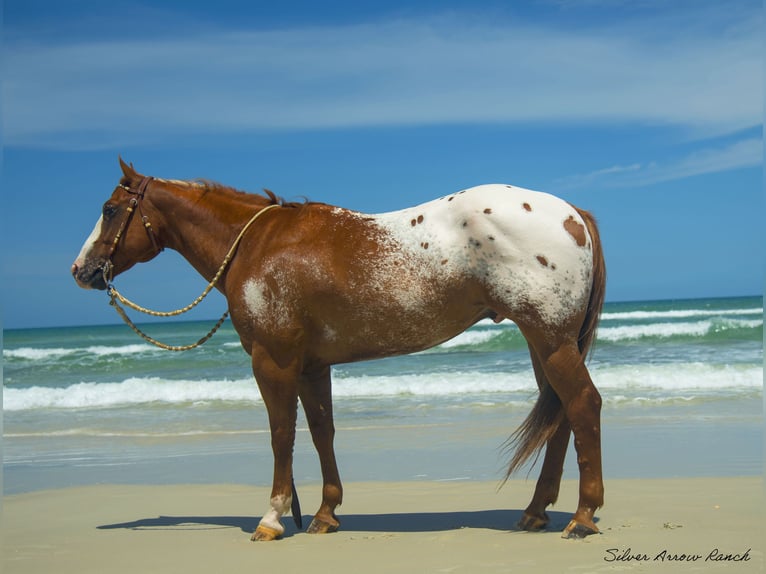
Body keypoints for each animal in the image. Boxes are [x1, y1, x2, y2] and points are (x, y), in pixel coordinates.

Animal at [75, 159, 608, 544]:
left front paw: (273, 518)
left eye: (109, 209)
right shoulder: (312, 367)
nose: (82, 270)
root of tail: (572, 211)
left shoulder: (273, 361)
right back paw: (535, 512)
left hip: (550, 340)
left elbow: (281, 435)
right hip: (544, 344)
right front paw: (325, 513)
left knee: (583, 405)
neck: (258, 245)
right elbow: (321, 433)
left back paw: (582, 517)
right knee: (561, 415)